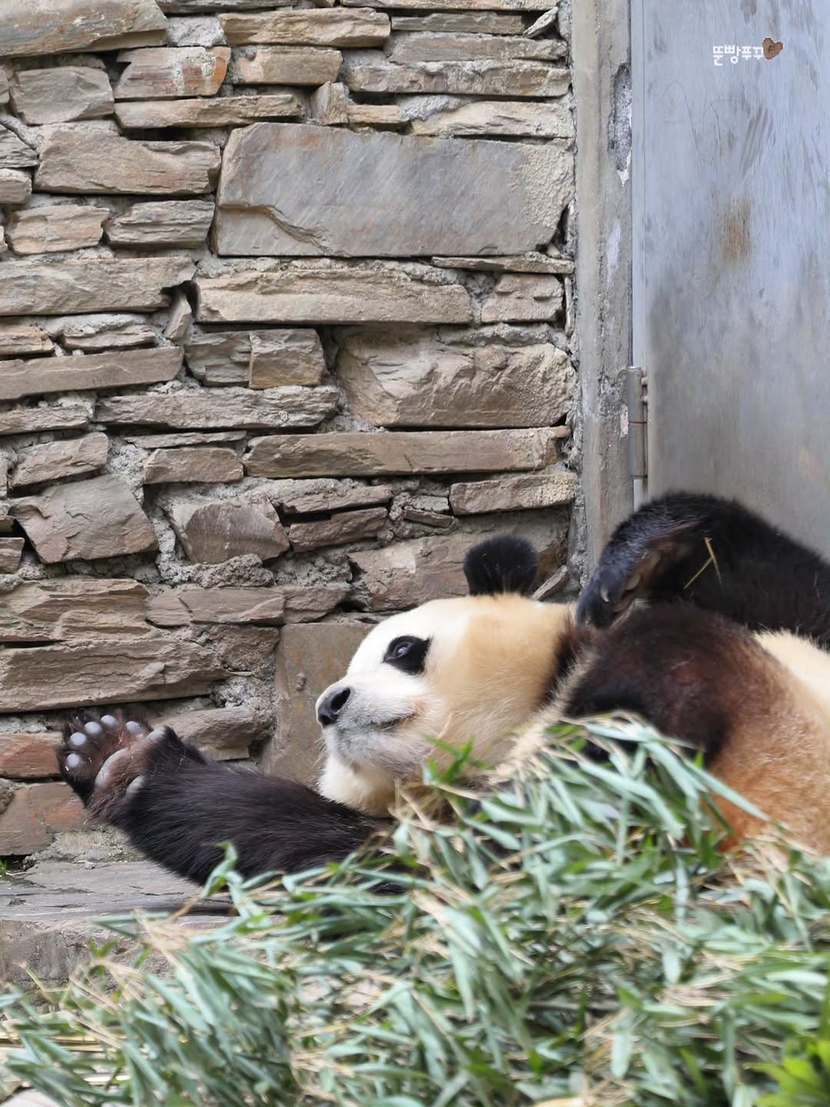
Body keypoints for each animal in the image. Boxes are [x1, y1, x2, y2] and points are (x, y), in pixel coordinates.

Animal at [59, 492, 830, 883]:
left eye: (403, 649)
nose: (329, 704)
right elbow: (356, 855)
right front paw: (115, 755)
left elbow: (789, 588)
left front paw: (642, 557)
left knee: (669, 661)